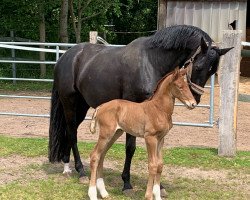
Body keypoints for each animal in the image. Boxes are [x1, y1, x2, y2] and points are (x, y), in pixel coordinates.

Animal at [88, 67, 197, 200]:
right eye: (179, 86)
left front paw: (158, 196)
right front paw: (148, 196)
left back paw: (104, 193)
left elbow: (160, 165)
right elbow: (152, 165)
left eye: (188, 86)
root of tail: (101, 106)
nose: (193, 104)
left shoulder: (161, 139)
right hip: (105, 134)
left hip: (115, 134)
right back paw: (93, 194)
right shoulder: (150, 138)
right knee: (95, 156)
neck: (159, 109)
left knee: (101, 156)